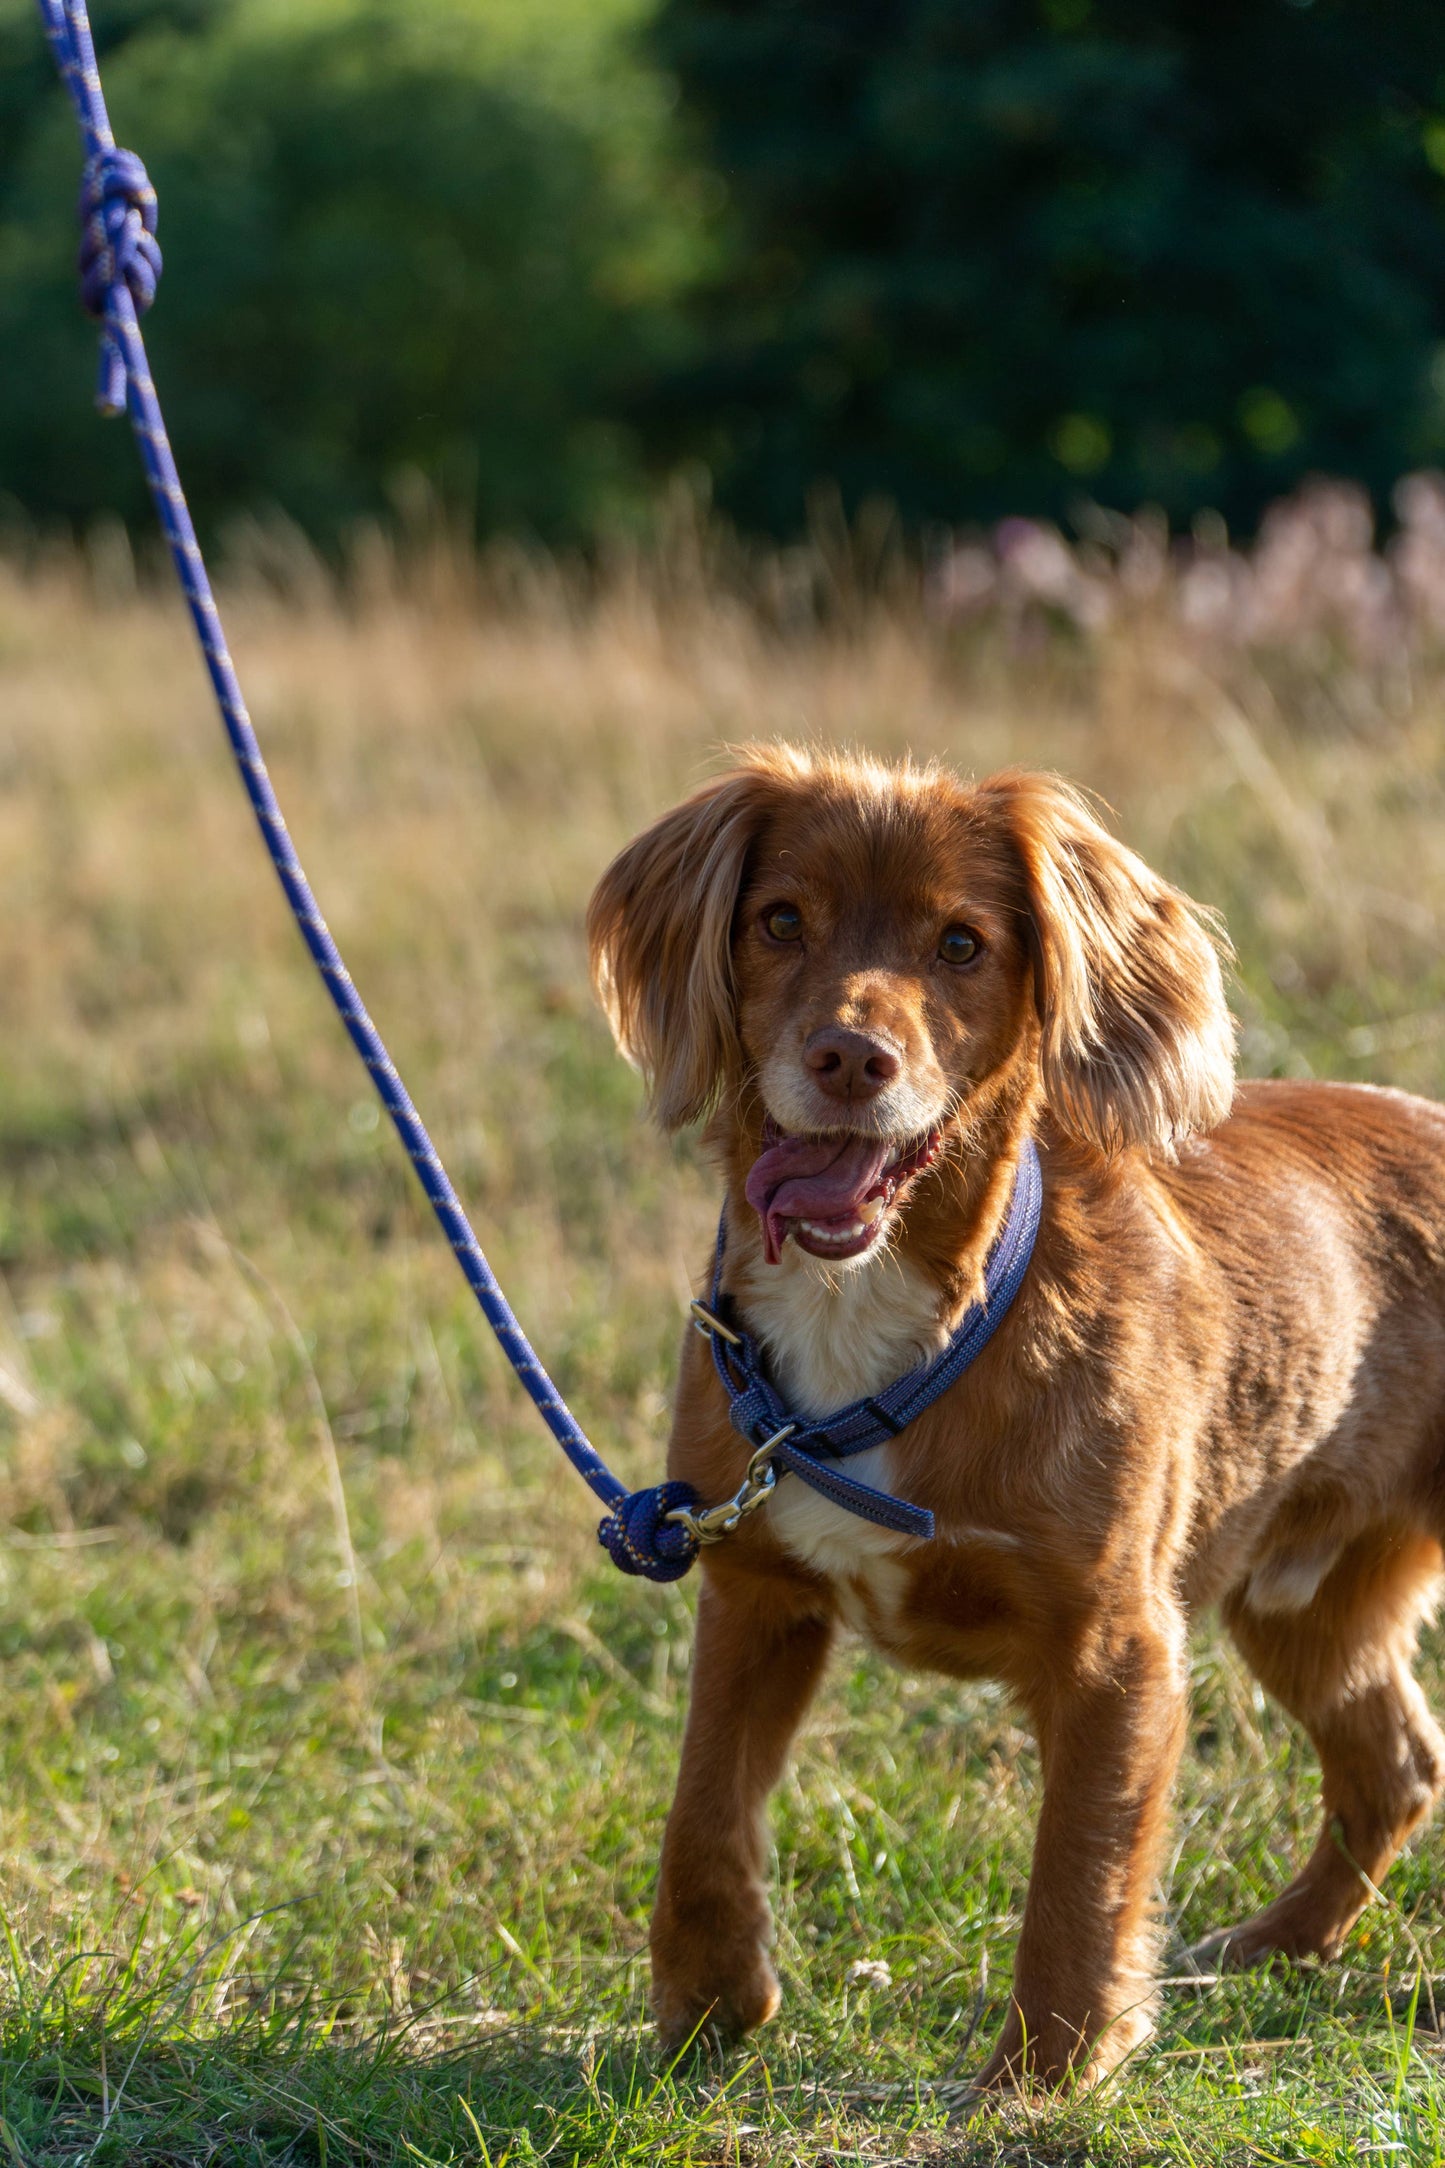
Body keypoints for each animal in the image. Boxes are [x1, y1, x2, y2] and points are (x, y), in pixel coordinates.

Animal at [584, 741, 1445, 2081]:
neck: (886, 1316)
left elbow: (1077, 1873)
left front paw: (1042, 2073)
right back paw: (1271, 1943)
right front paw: (707, 2002)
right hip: (1297, 1595)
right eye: (779, 921)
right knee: (1392, 1764)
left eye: (960, 942)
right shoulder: (752, 1583)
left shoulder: (1116, 1643)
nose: (851, 1058)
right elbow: (702, 1804)